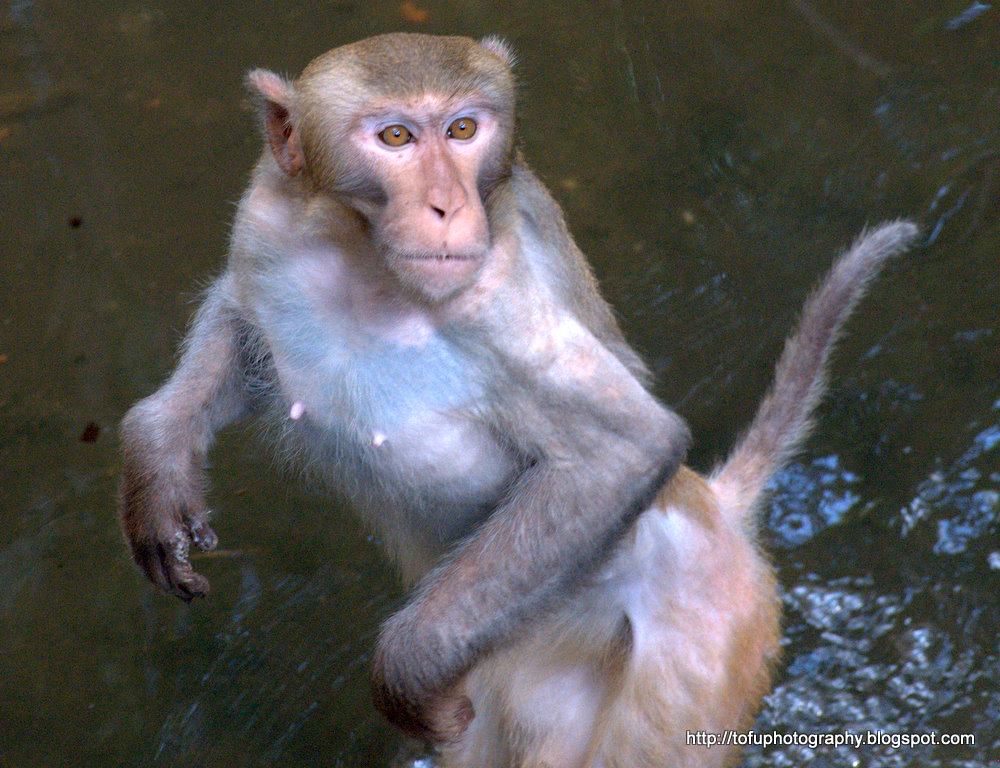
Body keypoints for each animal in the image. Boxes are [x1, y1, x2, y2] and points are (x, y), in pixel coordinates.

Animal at [116, 32, 918, 767]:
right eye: (396, 137)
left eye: (464, 130)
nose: (447, 205)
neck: (363, 262)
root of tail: (717, 507)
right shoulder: (265, 220)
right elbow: (241, 322)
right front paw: (157, 455)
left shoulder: (498, 298)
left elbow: (628, 448)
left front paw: (406, 666)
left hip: (701, 648)